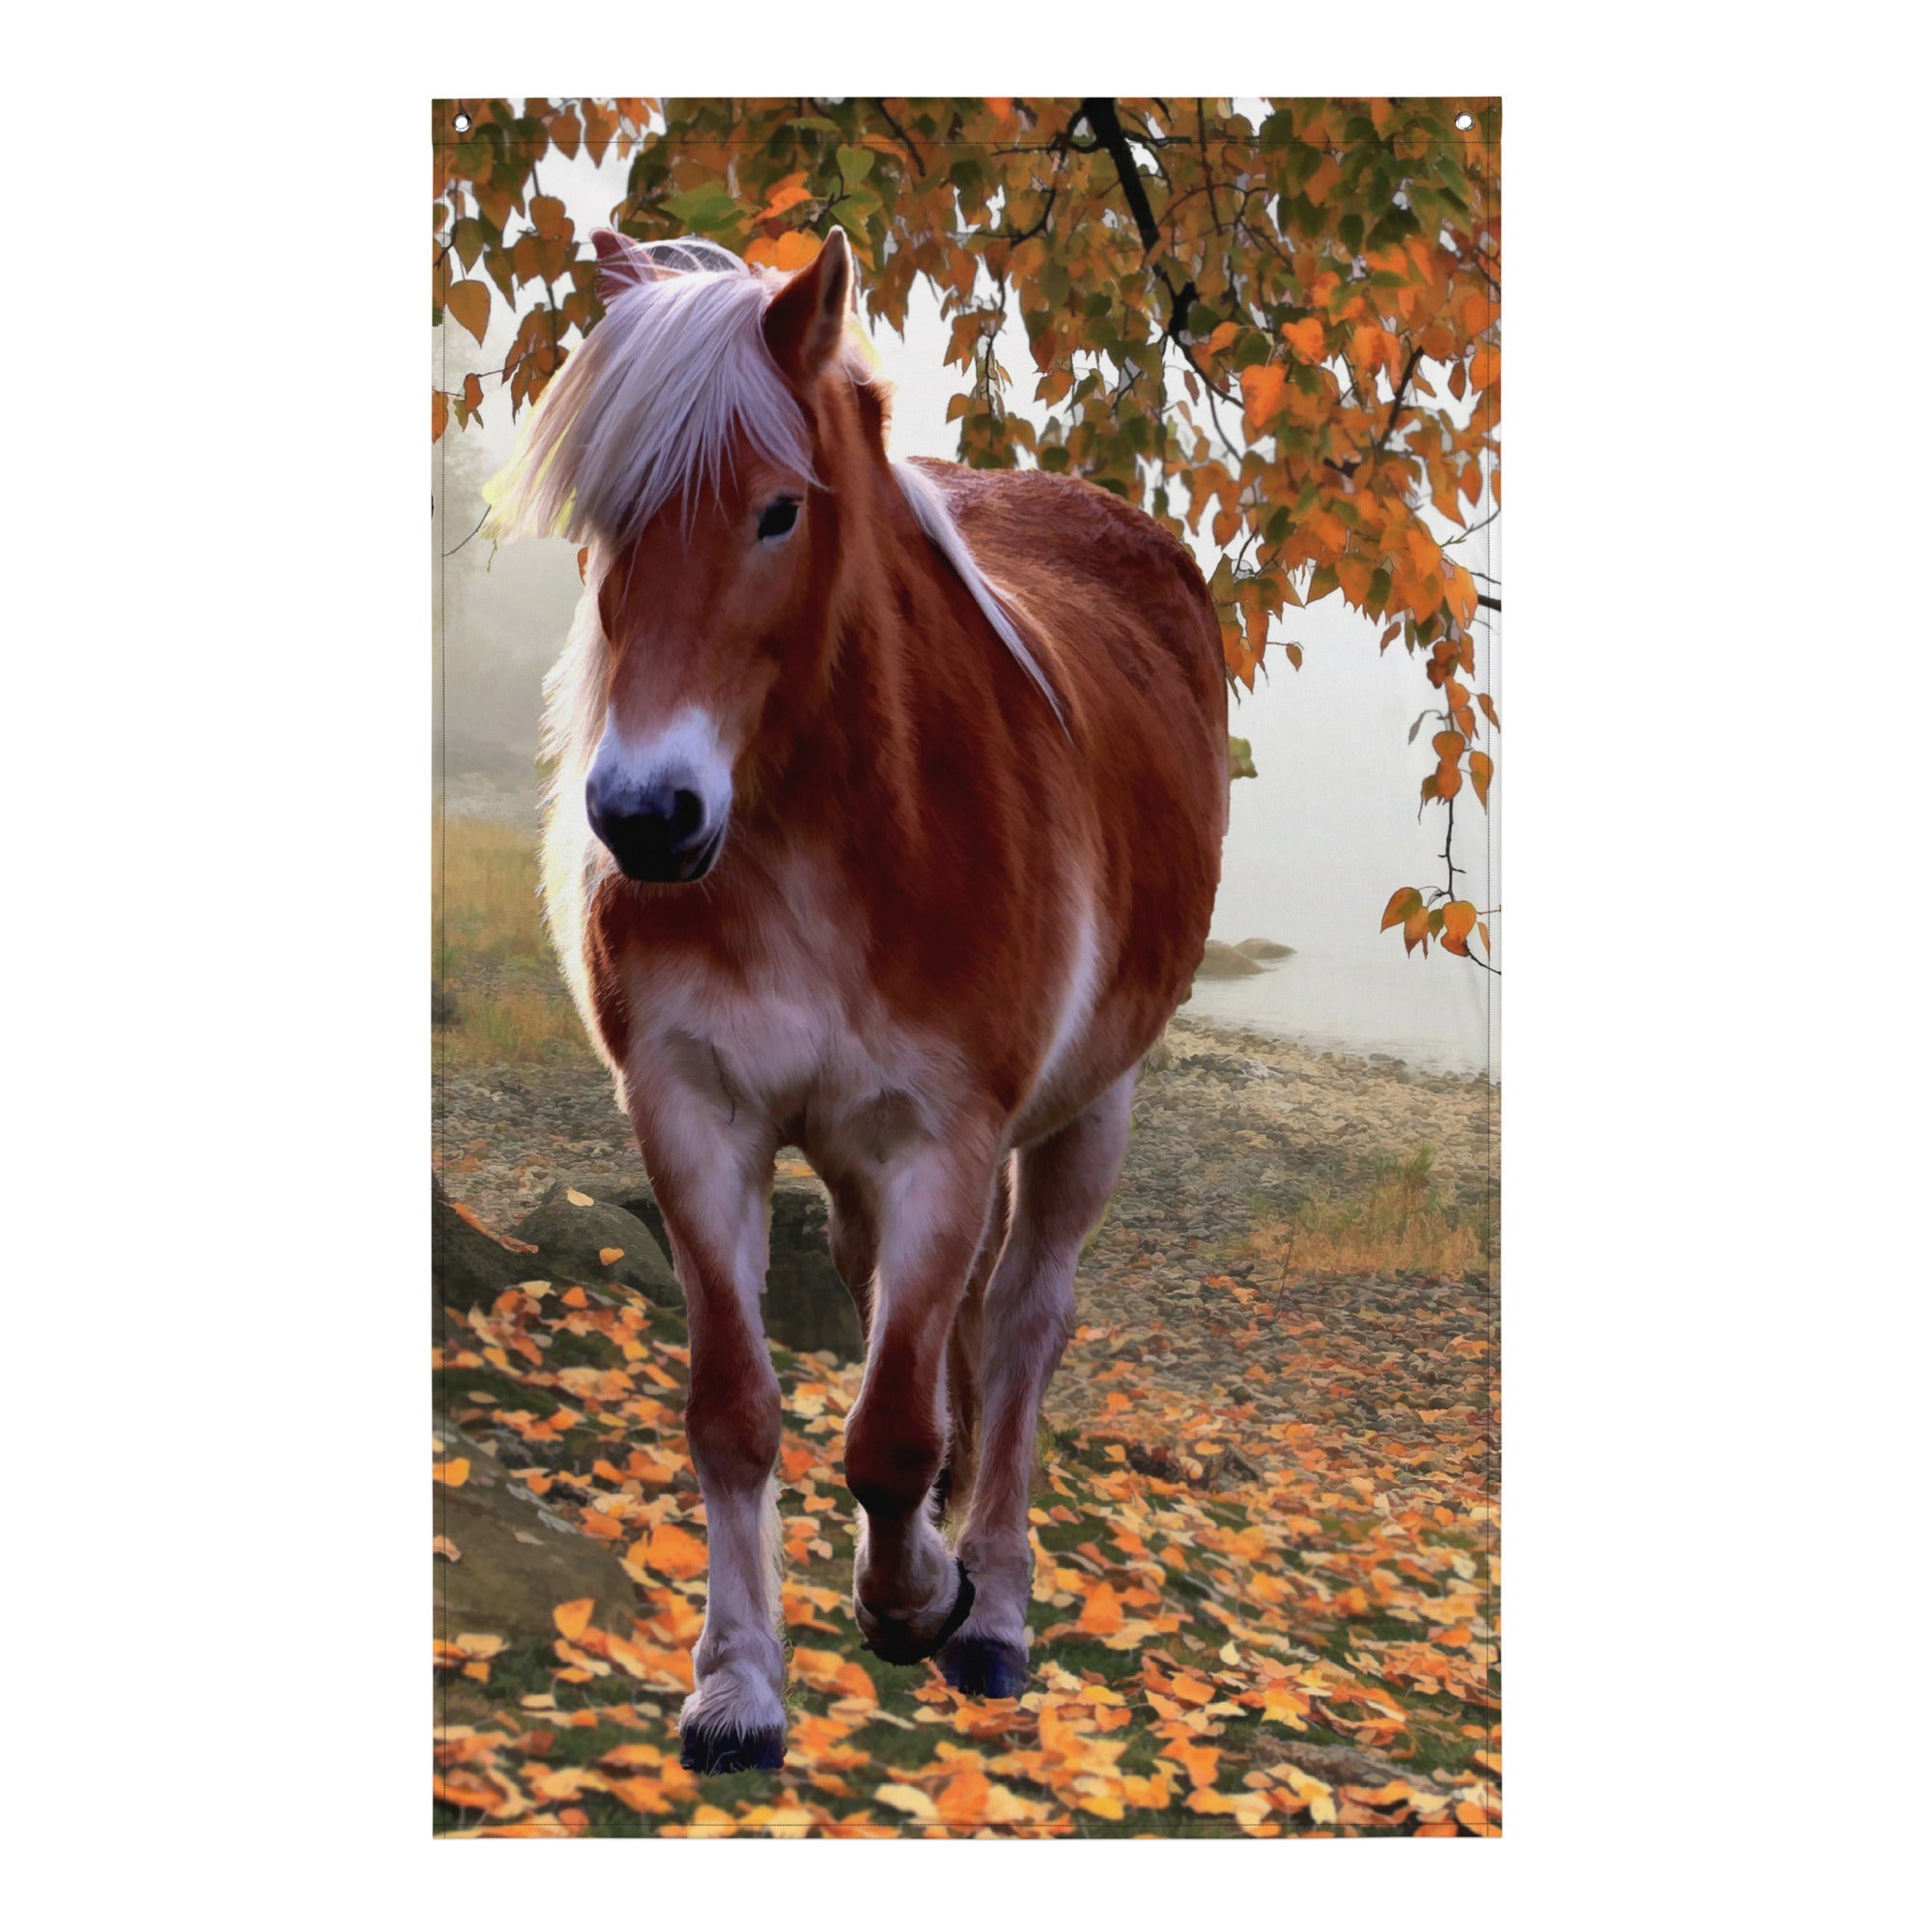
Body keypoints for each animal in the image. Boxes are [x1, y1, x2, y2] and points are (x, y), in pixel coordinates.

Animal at [488, 225, 1228, 1774]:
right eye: (604, 521)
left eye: (777, 514)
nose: (643, 819)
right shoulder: (694, 1114)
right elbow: (736, 1409)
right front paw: (737, 1684)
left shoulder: (946, 1137)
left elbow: (894, 1430)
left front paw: (916, 1599)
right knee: (914, 1308)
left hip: (1091, 1111)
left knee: (1019, 1331)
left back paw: (989, 1607)